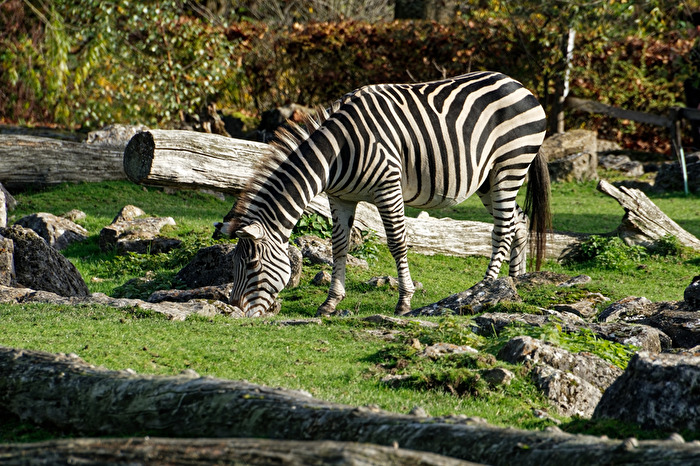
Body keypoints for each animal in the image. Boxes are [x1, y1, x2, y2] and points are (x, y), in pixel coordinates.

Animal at [220, 71, 551, 317]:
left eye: (252, 265)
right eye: (234, 264)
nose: (235, 310)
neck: (336, 153)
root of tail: (517, 83)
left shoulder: (388, 187)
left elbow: (397, 242)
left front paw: (404, 302)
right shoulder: (340, 197)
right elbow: (339, 246)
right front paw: (330, 303)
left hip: (510, 163)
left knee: (503, 229)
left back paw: (483, 288)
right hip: (488, 178)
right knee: (519, 221)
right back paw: (512, 282)